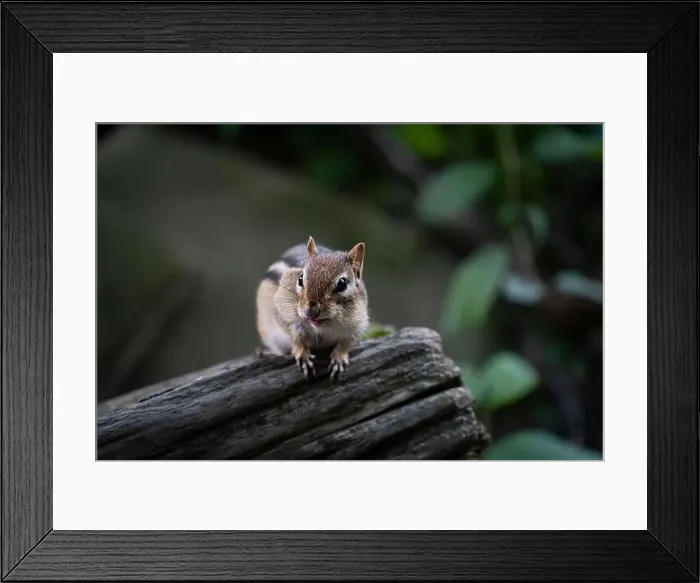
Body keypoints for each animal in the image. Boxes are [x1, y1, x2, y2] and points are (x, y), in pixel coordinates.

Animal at [256, 236, 369, 381]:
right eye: (300, 278)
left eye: (342, 284)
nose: (311, 312)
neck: (321, 329)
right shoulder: (284, 314)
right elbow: (294, 336)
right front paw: (303, 354)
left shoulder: (357, 324)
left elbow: (347, 342)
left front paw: (339, 357)